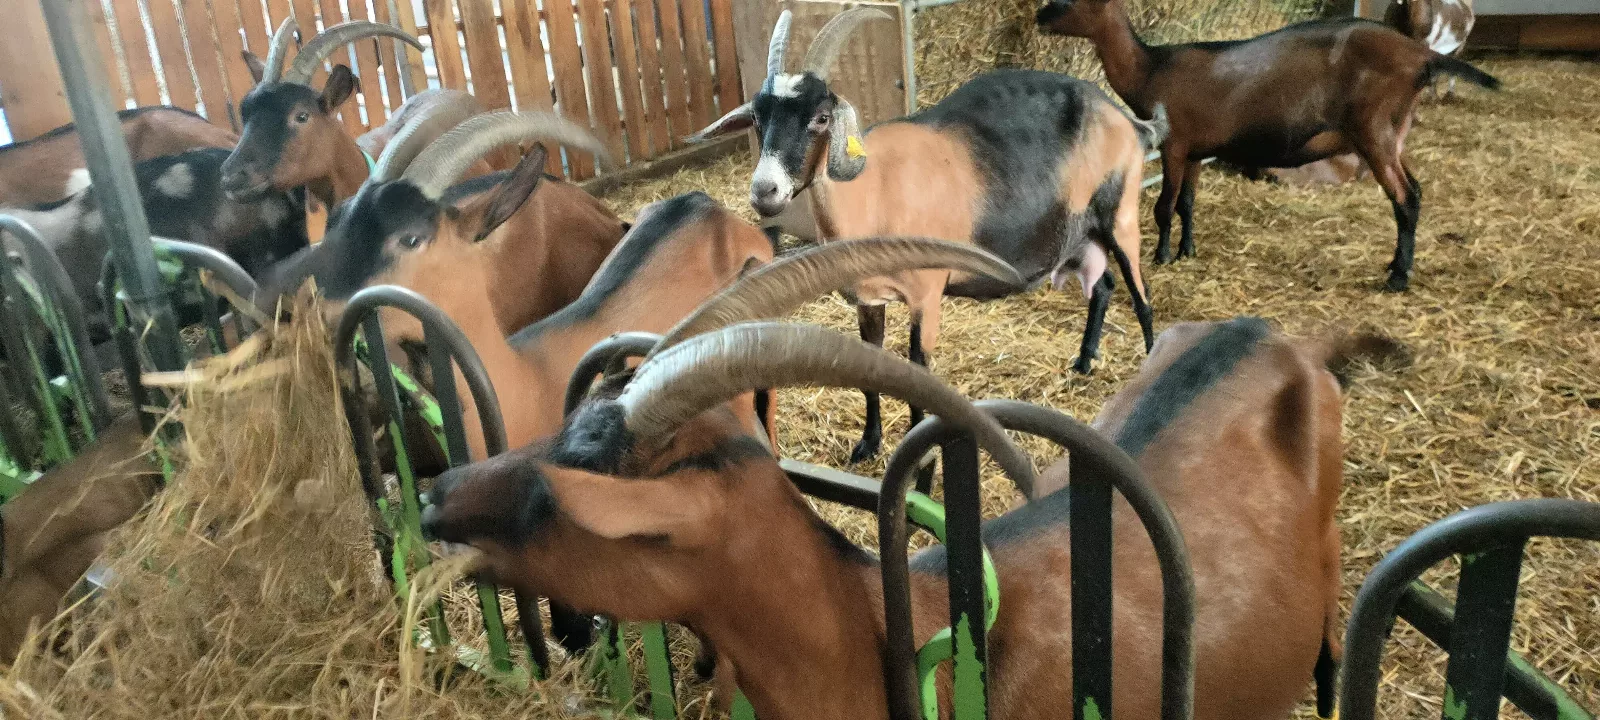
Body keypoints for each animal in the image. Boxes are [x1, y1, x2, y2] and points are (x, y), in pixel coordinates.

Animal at [689, 8, 1167, 463]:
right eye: (757, 117)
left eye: (821, 118)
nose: (764, 191)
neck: (874, 190)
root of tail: (1126, 120)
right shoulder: (868, 300)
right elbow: (872, 370)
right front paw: (868, 445)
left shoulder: (927, 294)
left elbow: (918, 371)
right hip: (1081, 234)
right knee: (1103, 286)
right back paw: (1084, 360)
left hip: (1120, 215)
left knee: (1142, 297)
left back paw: (1152, 366)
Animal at [1036, 1, 1500, 291]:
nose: (1040, 14)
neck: (1151, 66)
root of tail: (1421, 57)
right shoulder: (1197, 151)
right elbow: (1187, 203)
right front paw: (1187, 250)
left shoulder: (1174, 144)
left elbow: (1164, 207)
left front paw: (1162, 256)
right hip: (1394, 132)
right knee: (1413, 191)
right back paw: (1394, 266)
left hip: (1374, 130)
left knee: (1405, 198)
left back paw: (1397, 278)